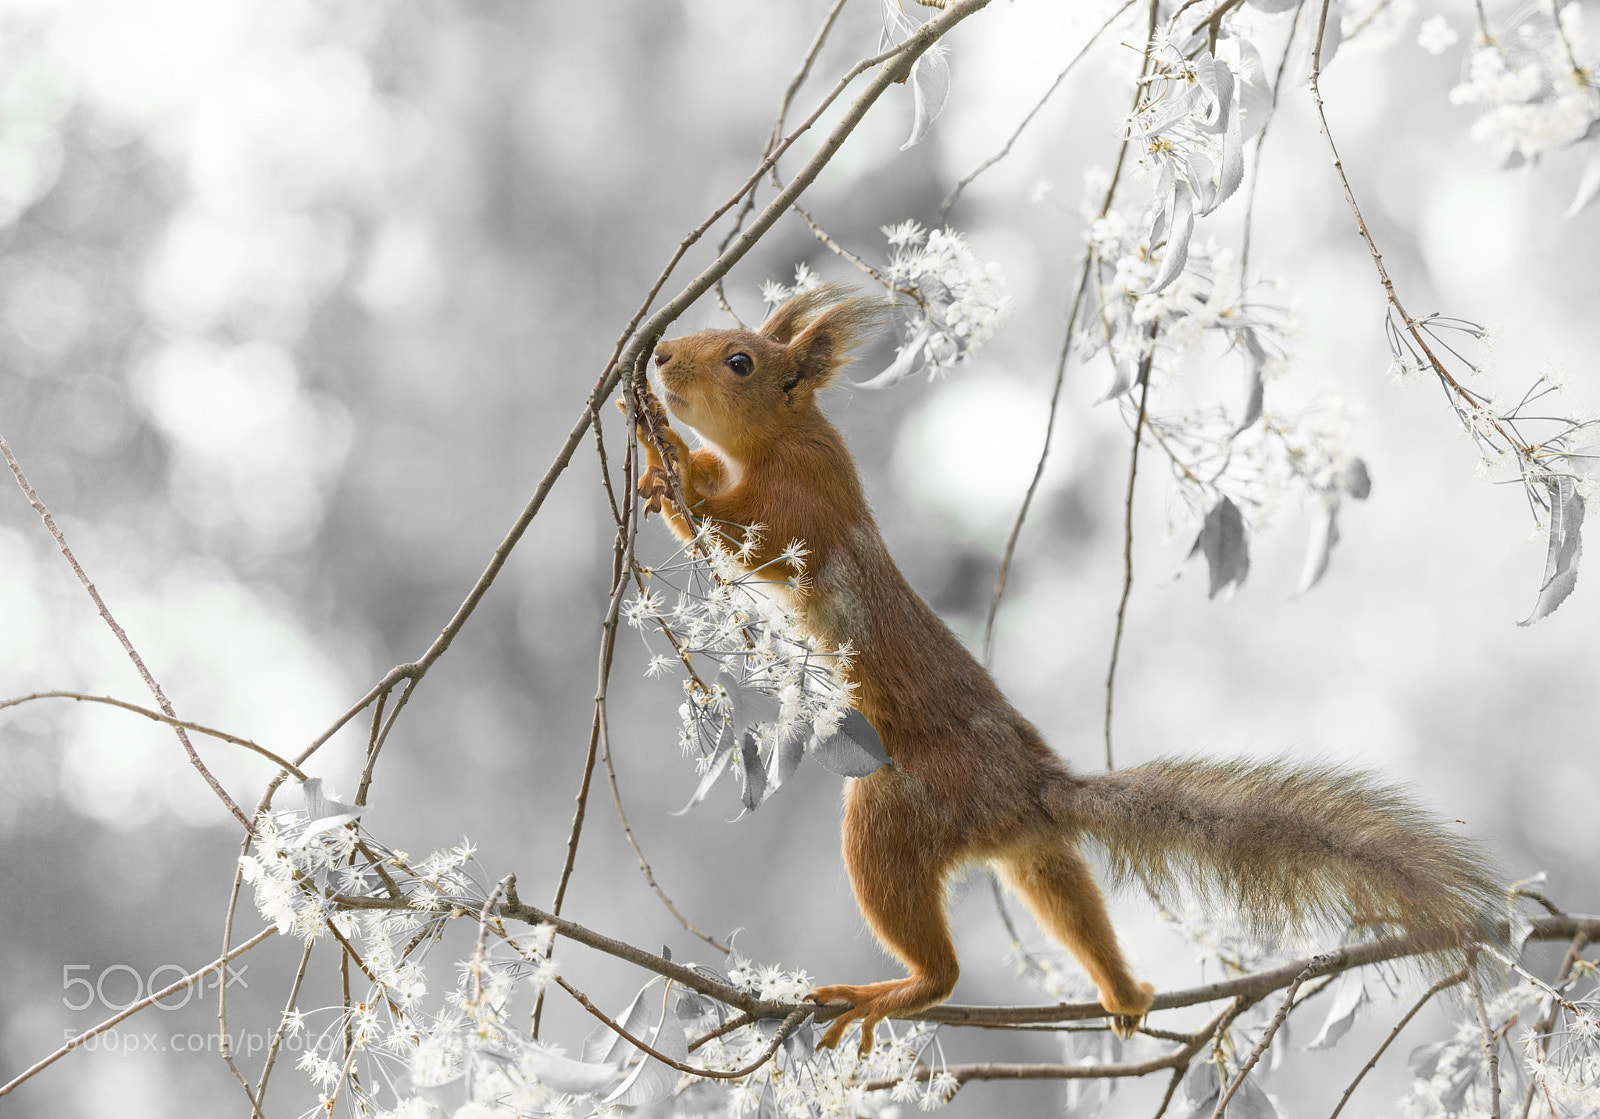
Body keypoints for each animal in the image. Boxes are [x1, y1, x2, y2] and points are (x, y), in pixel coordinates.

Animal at [631, 284, 1503, 1055]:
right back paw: (1124, 989)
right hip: (1031, 851)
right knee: (1070, 898)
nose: (660, 356)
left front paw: (665, 456)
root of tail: (1027, 785)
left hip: (897, 809)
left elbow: (732, 530)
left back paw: (897, 990)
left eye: (739, 360)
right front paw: (662, 454)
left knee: (939, 965)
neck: (787, 435)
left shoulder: (801, 509)